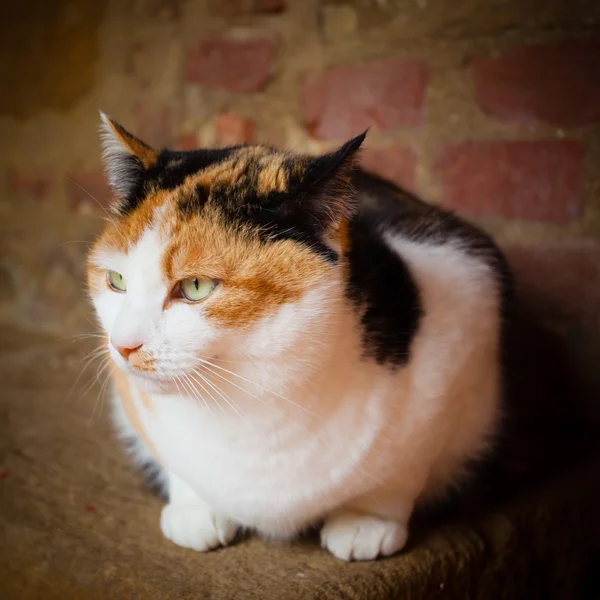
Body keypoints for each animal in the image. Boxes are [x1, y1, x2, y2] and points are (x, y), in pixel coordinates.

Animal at [88, 113, 510, 564]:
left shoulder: (463, 324)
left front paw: (367, 521)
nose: (122, 345)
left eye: (197, 286)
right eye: (116, 281)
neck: (253, 404)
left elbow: (403, 470)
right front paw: (195, 510)